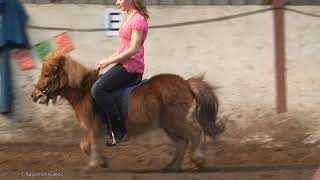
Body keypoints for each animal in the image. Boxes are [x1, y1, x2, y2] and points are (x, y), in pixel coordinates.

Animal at [31, 50, 224, 172]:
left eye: (47, 74)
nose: (34, 95)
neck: (84, 92)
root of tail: (185, 82)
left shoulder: (95, 128)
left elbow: (90, 146)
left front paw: (93, 165)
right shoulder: (93, 129)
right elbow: (85, 146)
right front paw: (102, 163)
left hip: (175, 120)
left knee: (195, 133)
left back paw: (198, 160)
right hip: (167, 124)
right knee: (181, 142)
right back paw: (172, 166)